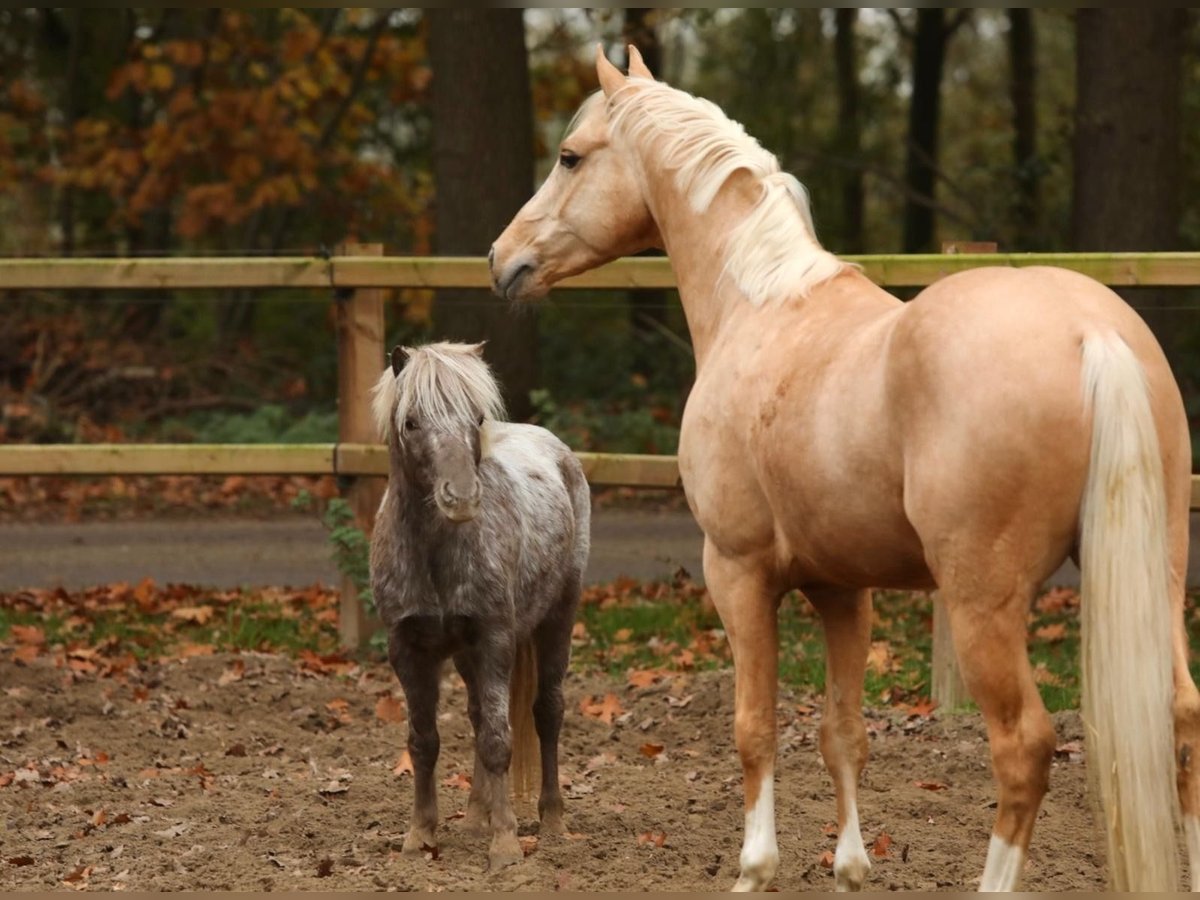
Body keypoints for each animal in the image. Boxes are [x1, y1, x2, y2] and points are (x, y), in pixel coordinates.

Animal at [364, 340, 590, 868]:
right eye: (411, 422)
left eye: (478, 417)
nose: (462, 497)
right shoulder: (408, 649)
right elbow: (423, 742)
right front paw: (420, 835)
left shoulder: (495, 640)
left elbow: (497, 739)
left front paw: (505, 844)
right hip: (467, 655)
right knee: (474, 714)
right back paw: (473, 818)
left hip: (558, 617)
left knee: (547, 711)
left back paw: (552, 821)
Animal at [489, 49, 1200, 897]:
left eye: (570, 156)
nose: (502, 260)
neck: (760, 307)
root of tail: (1092, 331)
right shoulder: (842, 591)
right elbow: (843, 733)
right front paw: (851, 866)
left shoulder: (736, 573)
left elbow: (754, 727)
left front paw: (755, 867)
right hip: (1156, 575)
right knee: (1182, 718)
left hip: (984, 604)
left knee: (1023, 746)